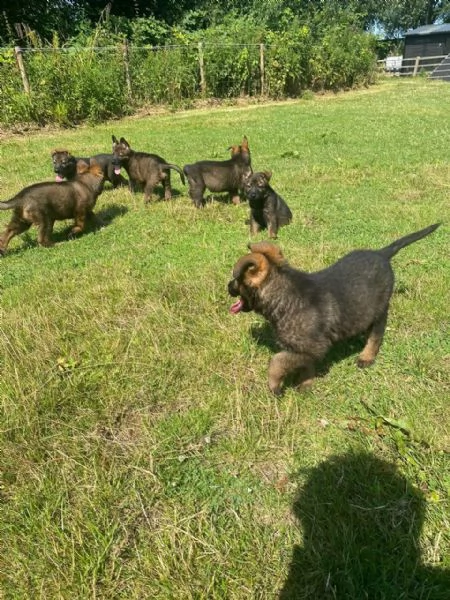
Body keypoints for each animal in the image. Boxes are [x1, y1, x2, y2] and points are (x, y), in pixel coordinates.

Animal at [230, 223, 442, 396]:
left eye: (236, 279)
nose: (228, 286)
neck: (285, 297)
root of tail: (381, 254)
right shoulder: (307, 351)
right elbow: (305, 366)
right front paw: (305, 385)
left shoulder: (312, 348)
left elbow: (278, 360)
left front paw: (275, 385)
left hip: (380, 309)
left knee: (377, 334)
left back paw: (366, 356)